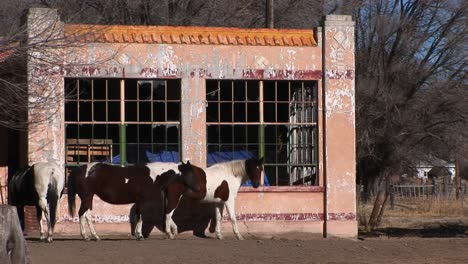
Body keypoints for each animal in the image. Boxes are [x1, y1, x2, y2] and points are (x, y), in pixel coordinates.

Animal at [68, 160, 200, 240]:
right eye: (191, 173)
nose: (198, 189)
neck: (153, 176)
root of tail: (81, 168)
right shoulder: (142, 200)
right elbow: (141, 217)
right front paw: (140, 235)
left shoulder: (138, 201)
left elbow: (138, 216)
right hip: (87, 197)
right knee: (82, 214)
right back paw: (88, 236)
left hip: (88, 198)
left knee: (86, 214)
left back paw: (93, 236)